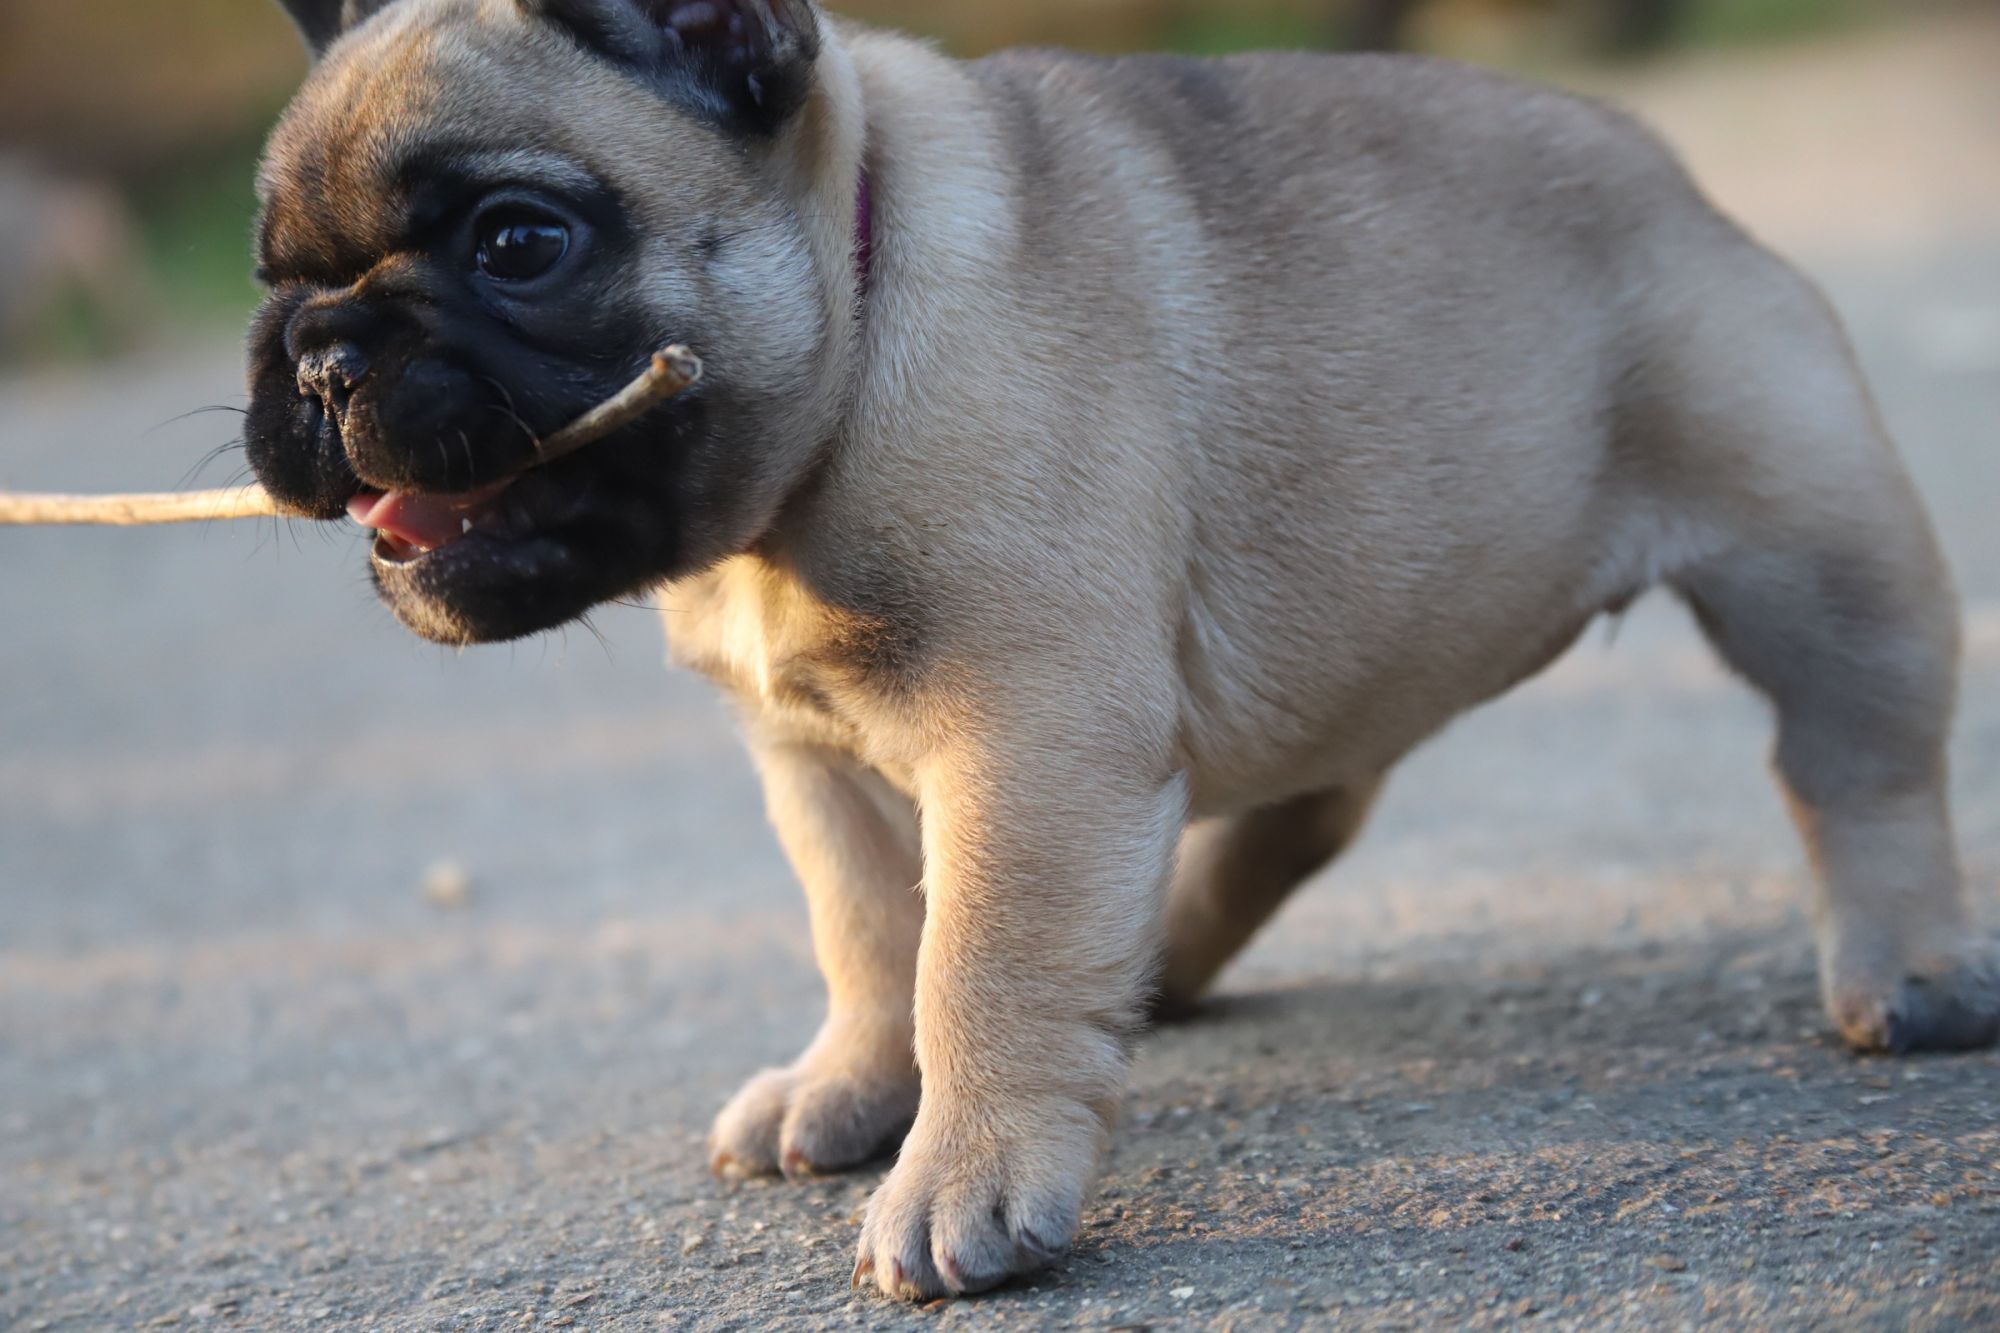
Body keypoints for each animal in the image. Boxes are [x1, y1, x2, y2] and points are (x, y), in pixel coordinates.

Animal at [245, 0, 1999, 1300]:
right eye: (272, 277)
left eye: (518, 240)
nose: (321, 360)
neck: (856, 329)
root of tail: (1663, 165)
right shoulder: (814, 761)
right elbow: (865, 931)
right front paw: (853, 1083)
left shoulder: (1027, 748)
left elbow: (981, 965)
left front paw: (964, 1174)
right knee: (1306, 808)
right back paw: (1168, 956)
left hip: (1815, 552)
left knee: (1857, 764)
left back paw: (1908, 966)